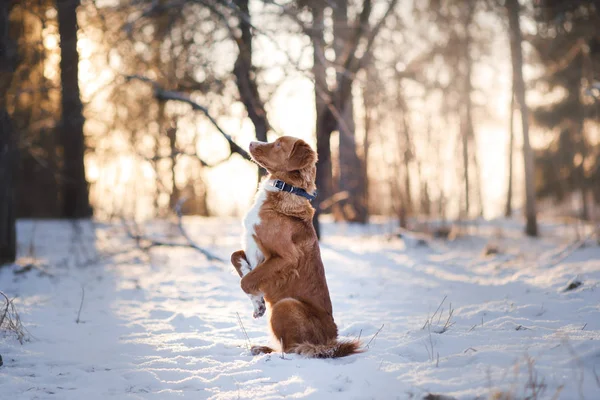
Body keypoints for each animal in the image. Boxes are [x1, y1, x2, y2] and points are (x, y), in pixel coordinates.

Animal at [230, 136, 360, 358]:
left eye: (278, 144)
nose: (251, 143)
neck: (284, 188)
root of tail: (330, 342)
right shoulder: (251, 248)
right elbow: (237, 260)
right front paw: (258, 303)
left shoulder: (286, 257)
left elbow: (246, 282)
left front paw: (257, 299)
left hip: (285, 304)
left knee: (292, 350)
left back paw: (265, 350)